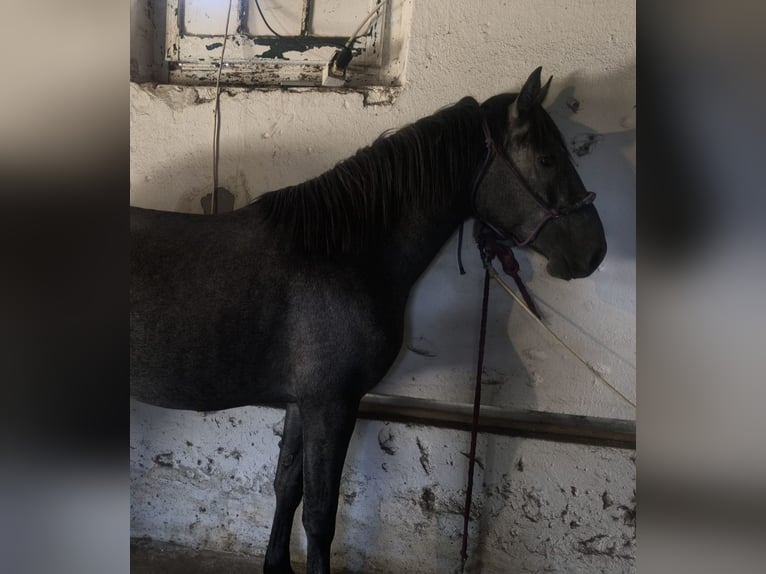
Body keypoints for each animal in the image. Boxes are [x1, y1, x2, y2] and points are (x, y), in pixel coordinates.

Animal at [130, 67, 607, 573]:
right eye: (546, 158)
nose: (594, 251)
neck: (342, 254)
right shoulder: (333, 404)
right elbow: (320, 515)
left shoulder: (303, 404)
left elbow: (287, 488)